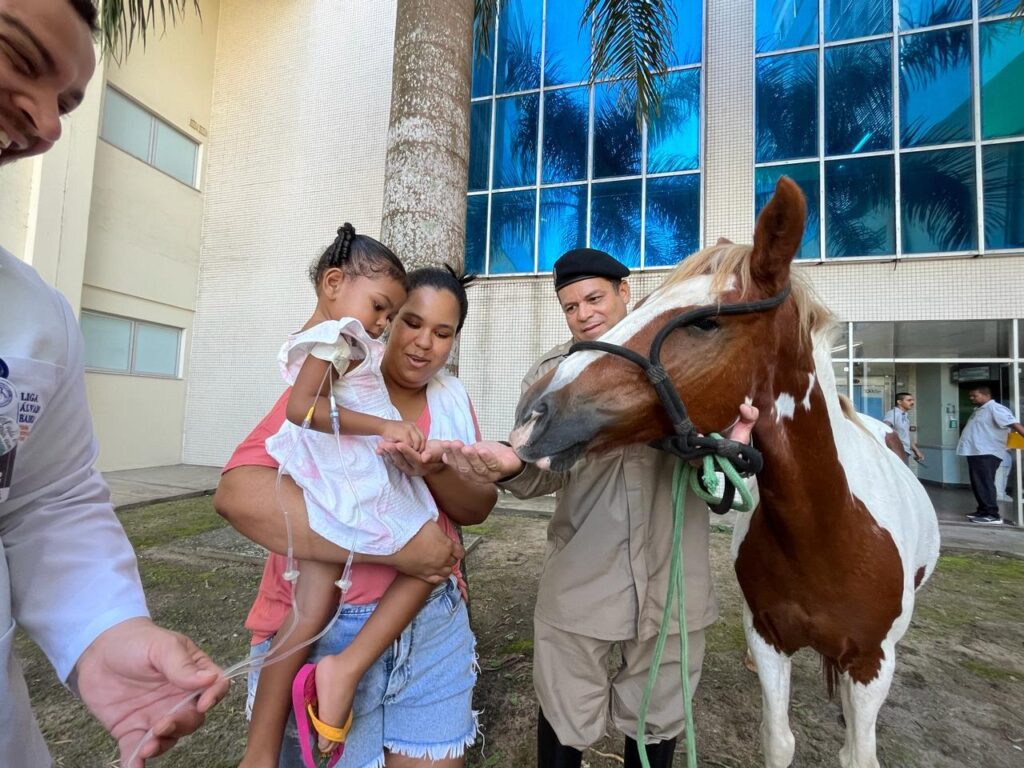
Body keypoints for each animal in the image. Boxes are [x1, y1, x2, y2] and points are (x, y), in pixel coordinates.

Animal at [507, 179, 937, 768]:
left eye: (706, 322)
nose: (533, 414)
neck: (830, 532)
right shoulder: (769, 640)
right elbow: (778, 740)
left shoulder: (873, 662)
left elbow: (857, 752)